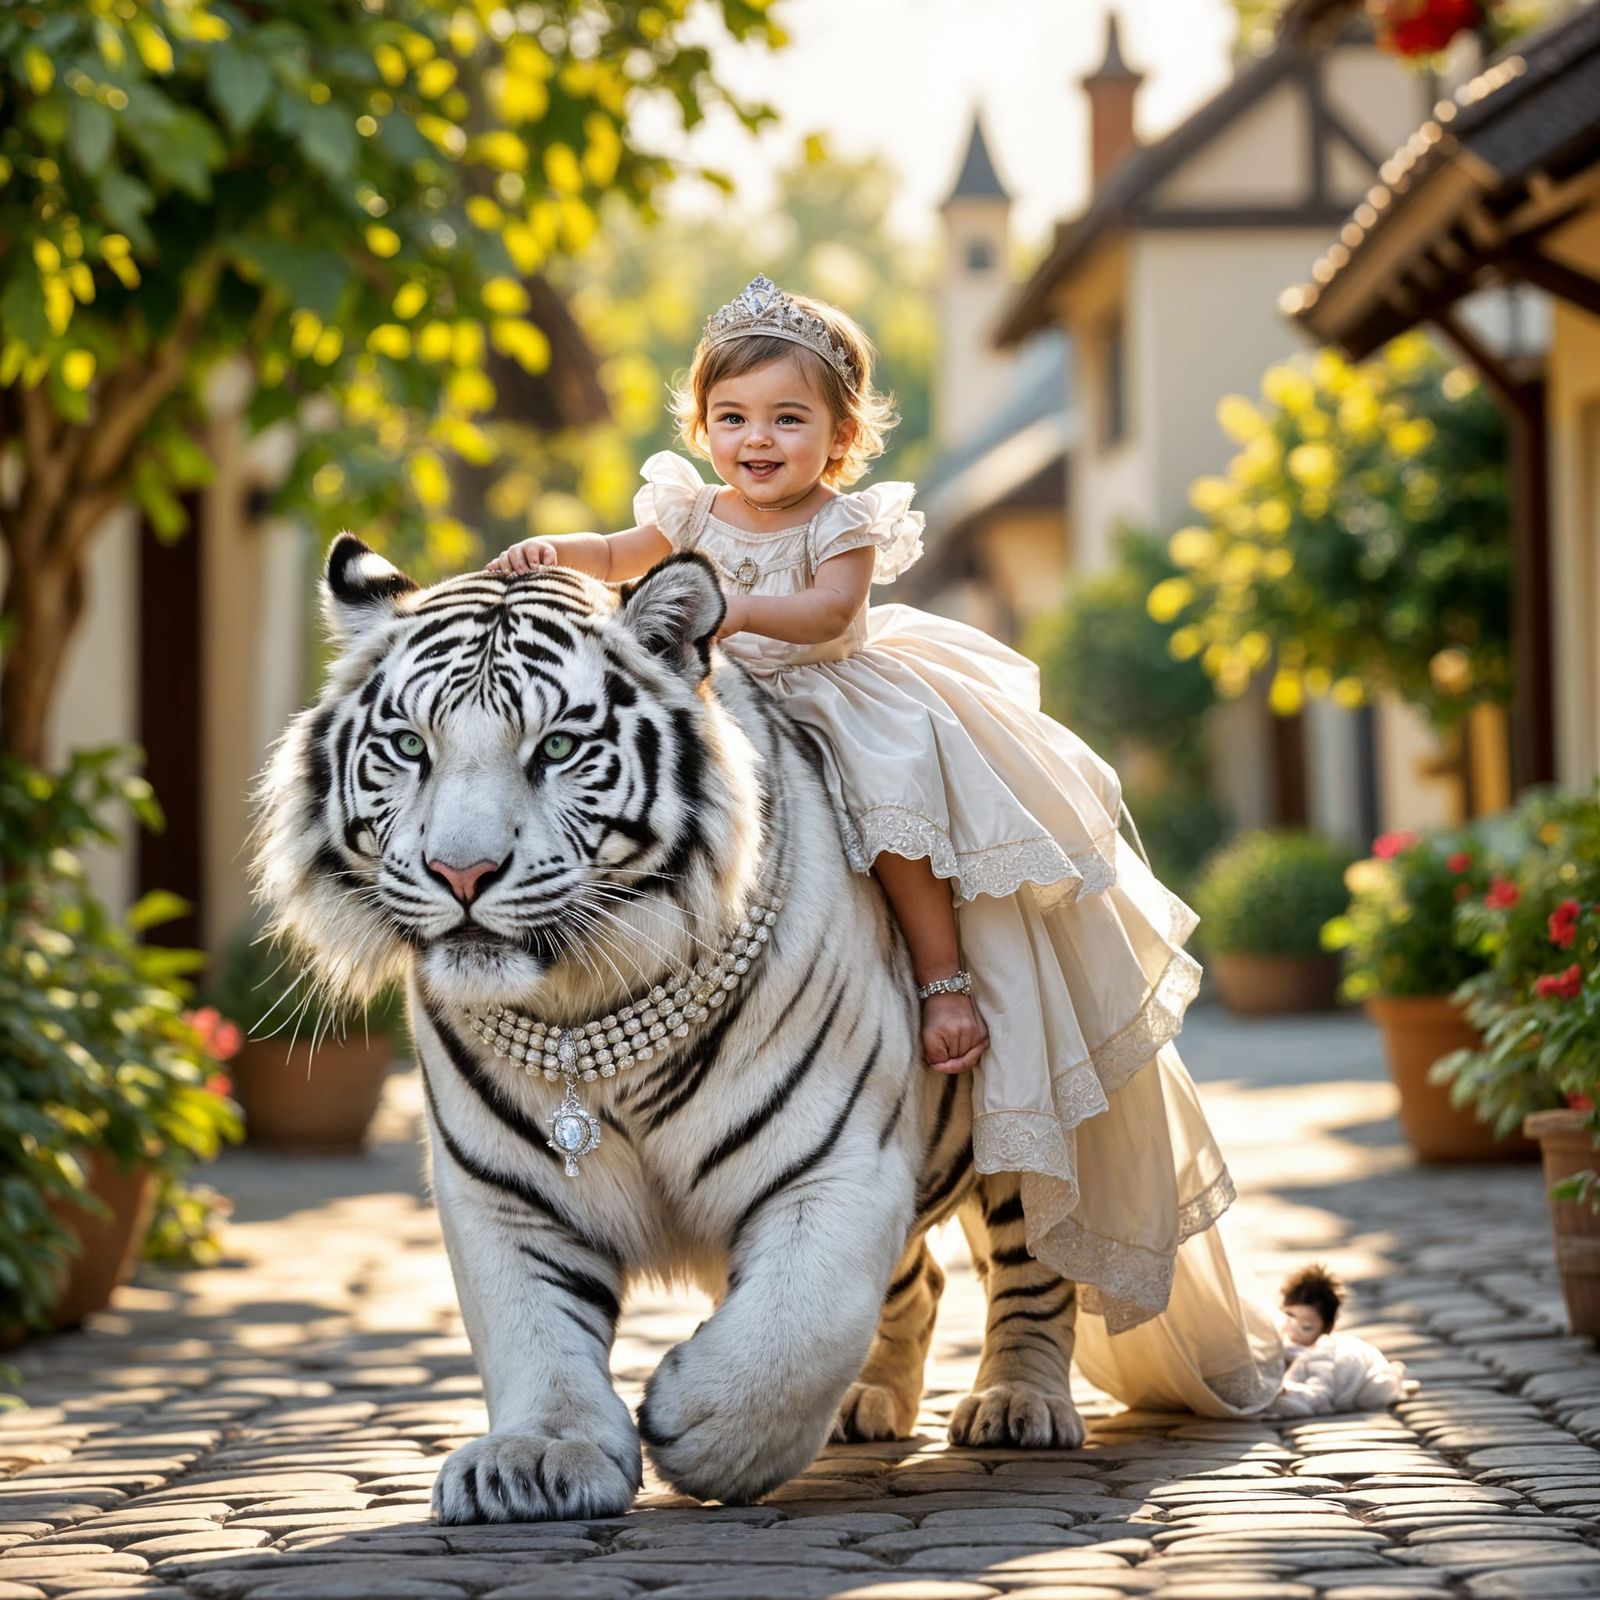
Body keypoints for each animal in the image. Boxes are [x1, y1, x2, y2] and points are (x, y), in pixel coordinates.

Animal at [253, 534, 1088, 1524]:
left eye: (558, 747)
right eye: (410, 747)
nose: (462, 873)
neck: (582, 1014)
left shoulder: (837, 1163)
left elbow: (800, 1324)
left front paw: (703, 1427)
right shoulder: (503, 1190)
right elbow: (532, 1330)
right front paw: (540, 1458)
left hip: (1039, 1120)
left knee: (1040, 1260)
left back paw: (1018, 1404)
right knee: (918, 1282)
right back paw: (868, 1405)